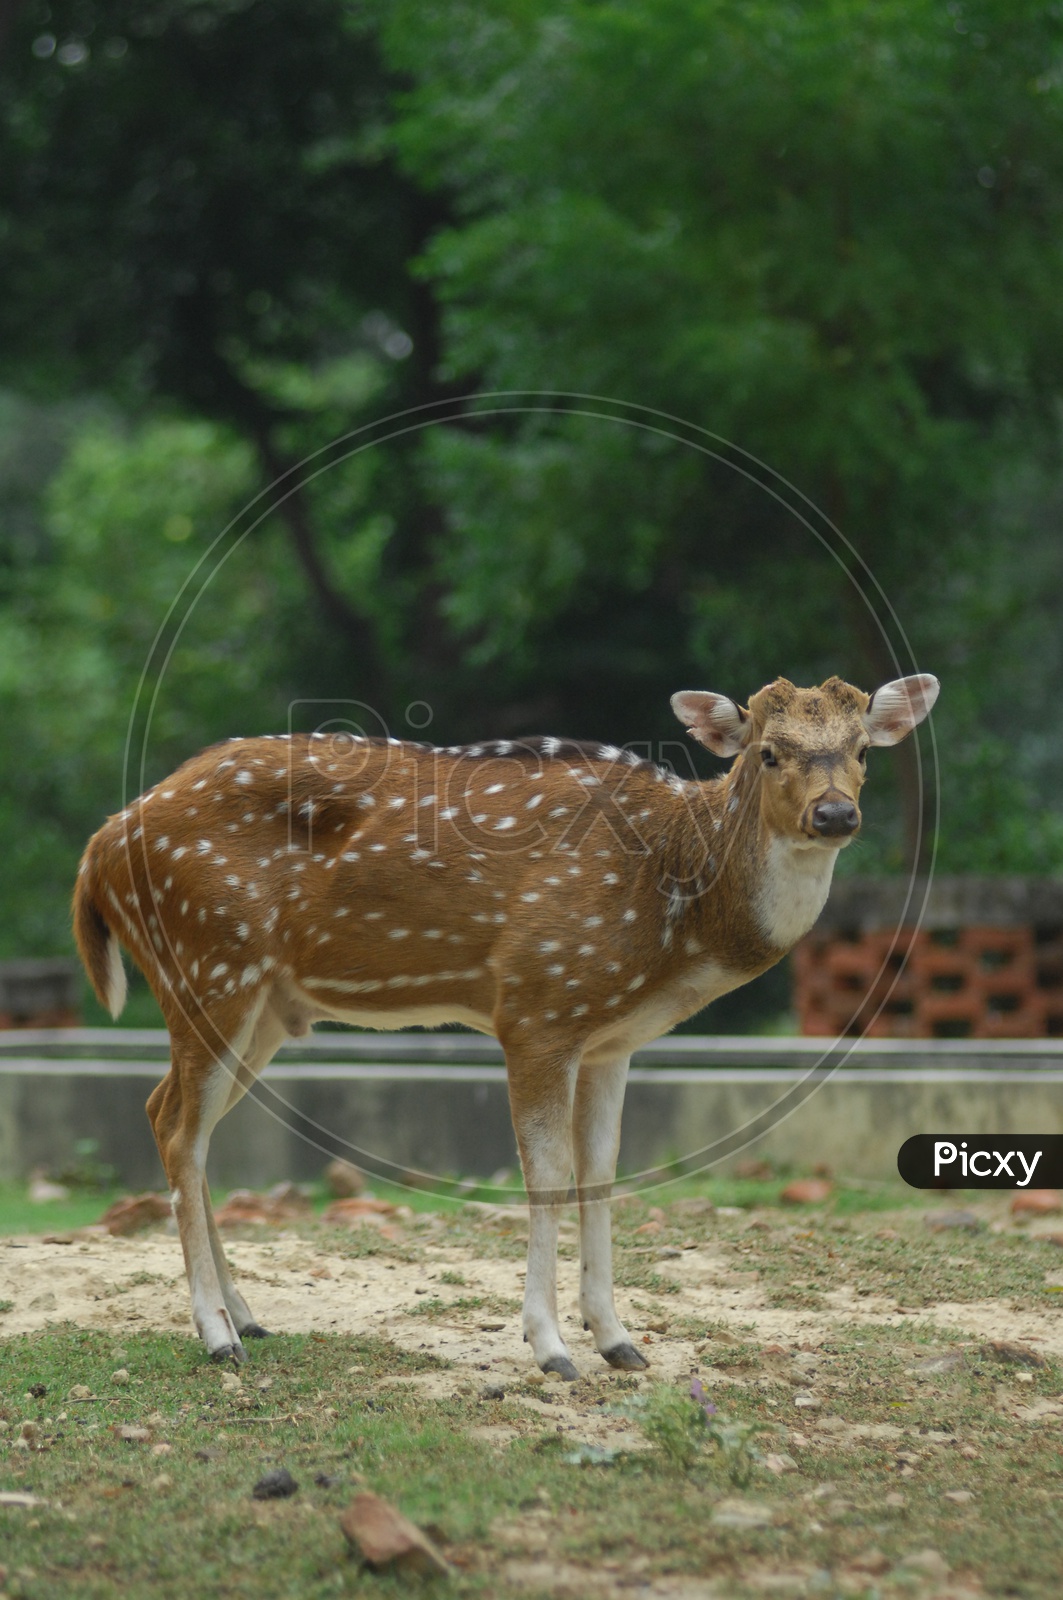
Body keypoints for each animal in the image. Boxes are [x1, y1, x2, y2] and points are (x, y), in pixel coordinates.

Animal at [73, 672, 938, 1375]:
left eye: (862, 748)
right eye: (766, 752)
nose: (835, 813)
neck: (671, 915)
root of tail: (99, 845)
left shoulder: (612, 1041)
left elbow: (602, 1169)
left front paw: (619, 1340)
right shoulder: (536, 1003)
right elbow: (546, 1173)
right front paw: (551, 1347)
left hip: (262, 1006)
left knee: (170, 1114)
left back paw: (249, 1317)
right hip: (208, 961)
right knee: (179, 1129)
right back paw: (216, 1334)